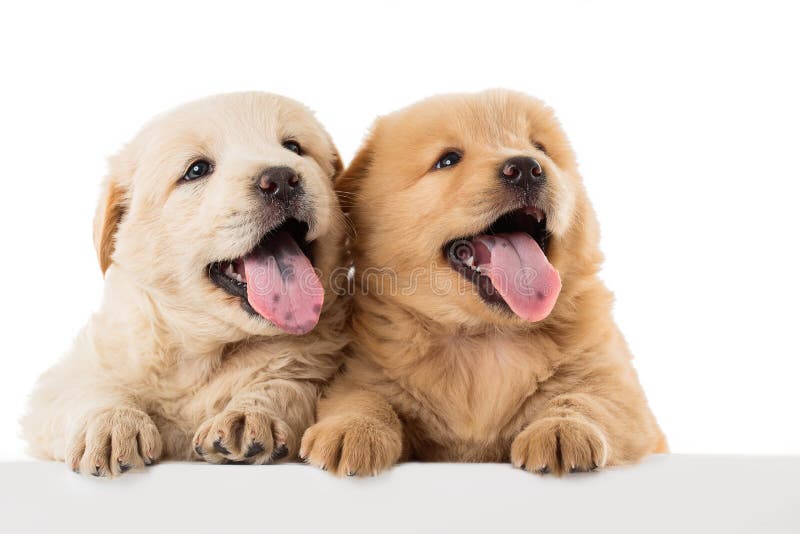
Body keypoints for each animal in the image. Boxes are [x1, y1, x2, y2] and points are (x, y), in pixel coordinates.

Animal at [21, 92, 346, 478]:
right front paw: (111, 424)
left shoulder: (316, 365)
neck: (205, 351)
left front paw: (247, 416)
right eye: (197, 170)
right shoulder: (65, 377)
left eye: (294, 147)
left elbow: (285, 385)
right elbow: (88, 388)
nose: (281, 178)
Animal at [304, 91, 664, 478]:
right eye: (448, 160)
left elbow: (588, 399)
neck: (483, 338)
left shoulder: (620, 389)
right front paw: (351, 430)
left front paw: (561, 430)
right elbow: (362, 396)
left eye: (540, 148)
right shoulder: (361, 372)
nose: (526, 167)